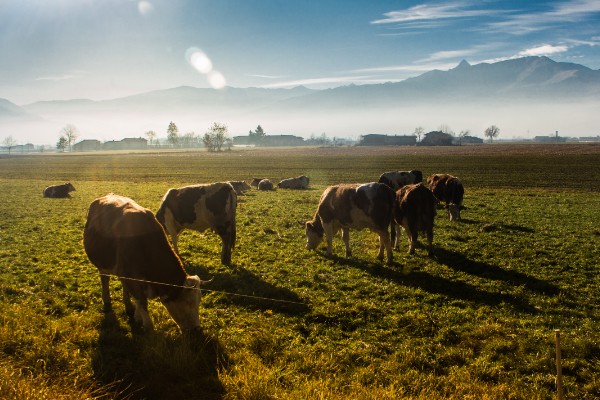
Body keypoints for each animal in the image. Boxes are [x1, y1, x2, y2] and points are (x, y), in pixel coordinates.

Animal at [83, 193, 207, 332]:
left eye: (198, 301)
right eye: (188, 302)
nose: (198, 329)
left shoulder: (129, 275)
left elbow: (137, 299)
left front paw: (137, 317)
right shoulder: (130, 275)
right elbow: (142, 301)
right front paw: (148, 325)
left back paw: (128, 306)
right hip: (102, 264)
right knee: (105, 280)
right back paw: (107, 302)